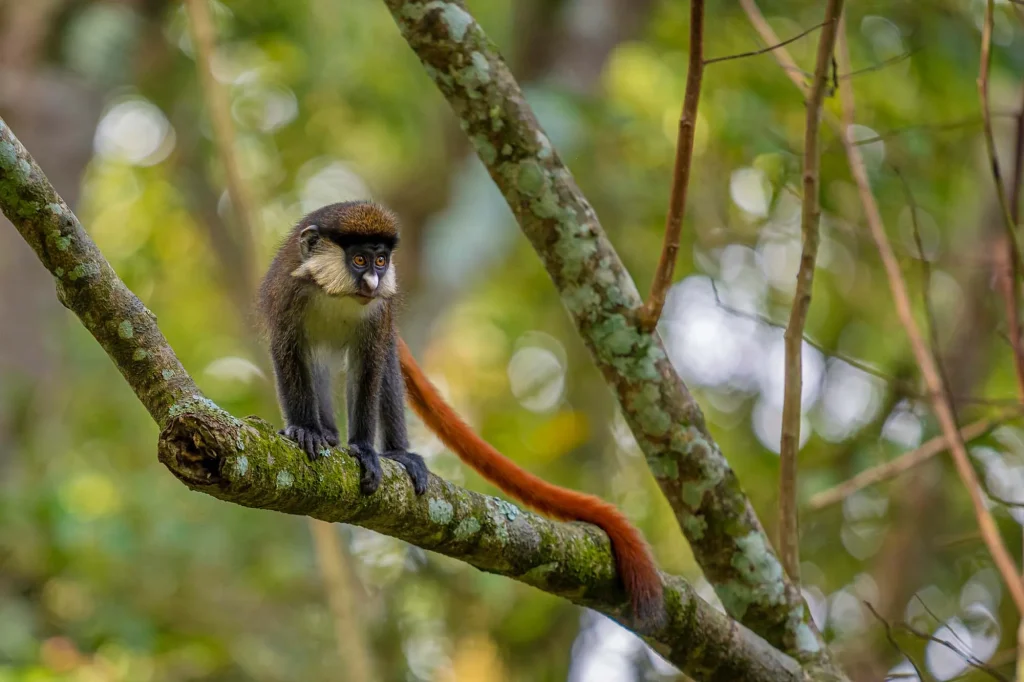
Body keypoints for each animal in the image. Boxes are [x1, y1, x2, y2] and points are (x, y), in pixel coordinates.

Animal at [258, 200, 665, 629]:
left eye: (381, 260)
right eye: (359, 259)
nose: (373, 280)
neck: (337, 295)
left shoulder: (380, 316)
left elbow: (371, 368)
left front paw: (365, 449)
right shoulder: (286, 298)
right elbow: (288, 352)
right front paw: (305, 430)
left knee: (386, 367)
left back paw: (396, 453)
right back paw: (327, 434)